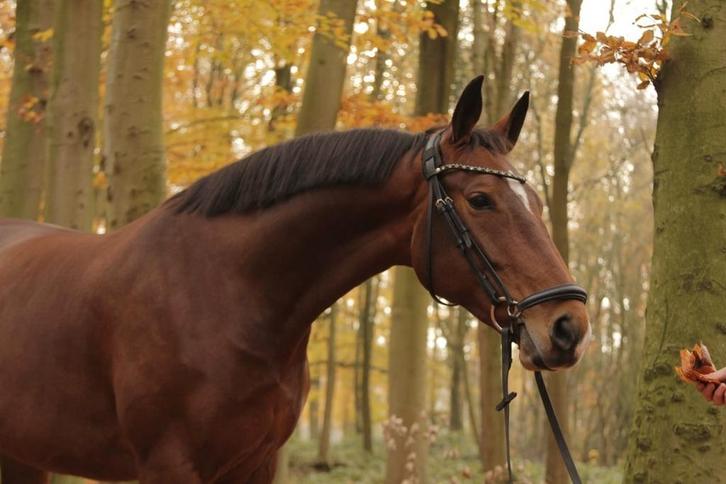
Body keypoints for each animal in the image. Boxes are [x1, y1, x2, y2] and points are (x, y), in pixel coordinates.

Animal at [0, 76, 590, 483]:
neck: (229, 295)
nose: (569, 326)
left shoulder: (256, 462)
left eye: (537, 204)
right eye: (480, 200)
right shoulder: (169, 466)